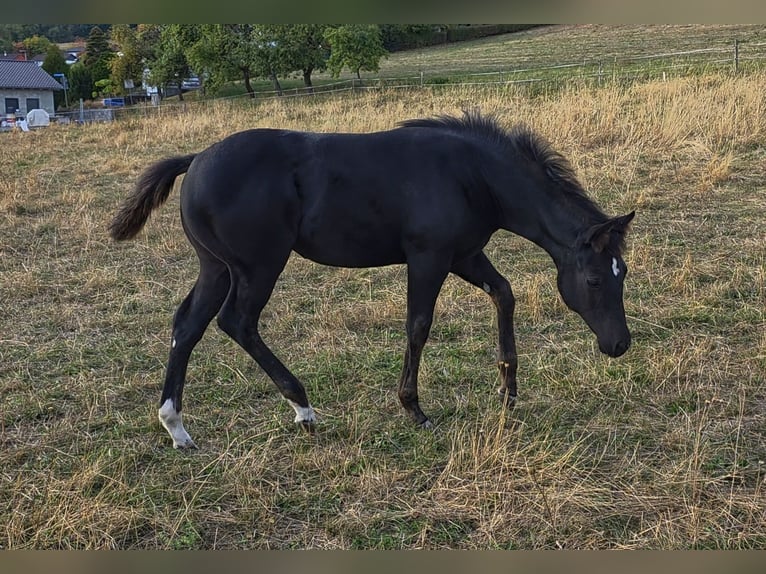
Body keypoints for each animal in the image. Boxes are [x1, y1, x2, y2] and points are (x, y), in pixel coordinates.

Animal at [109, 110, 635, 449]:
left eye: (622, 272)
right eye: (594, 280)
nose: (619, 345)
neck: (472, 174)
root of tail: (195, 159)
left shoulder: (464, 254)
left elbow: (503, 293)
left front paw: (508, 388)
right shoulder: (428, 257)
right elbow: (418, 325)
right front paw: (414, 409)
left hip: (216, 266)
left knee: (187, 325)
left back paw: (176, 426)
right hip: (257, 266)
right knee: (236, 322)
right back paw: (303, 408)